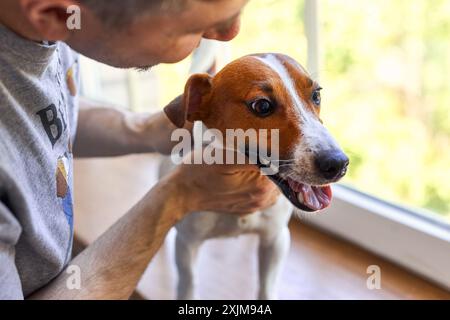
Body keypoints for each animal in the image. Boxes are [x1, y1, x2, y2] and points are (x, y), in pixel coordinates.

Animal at [160, 53, 350, 300]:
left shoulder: (276, 239)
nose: (337, 163)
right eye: (262, 105)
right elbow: (188, 283)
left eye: (316, 95)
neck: (246, 177)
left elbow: (266, 288)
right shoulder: (187, 243)